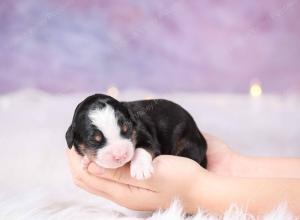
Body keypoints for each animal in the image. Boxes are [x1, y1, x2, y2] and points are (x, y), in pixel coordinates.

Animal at [65, 93, 206, 180]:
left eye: (126, 129)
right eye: (94, 140)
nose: (120, 155)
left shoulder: (146, 133)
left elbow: (142, 148)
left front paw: (140, 169)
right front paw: (86, 160)